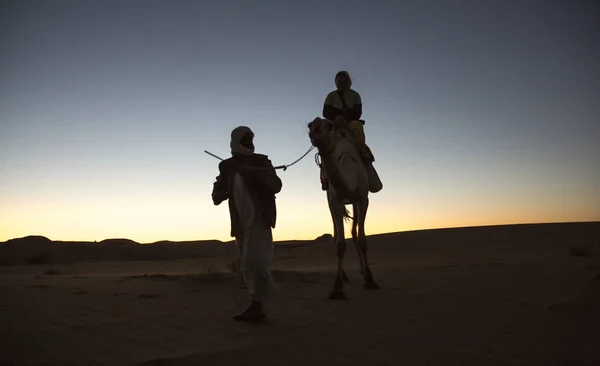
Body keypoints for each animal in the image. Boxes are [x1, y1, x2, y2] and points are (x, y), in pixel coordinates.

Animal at [308, 116, 382, 298]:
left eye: (329, 125)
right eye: (310, 125)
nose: (314, 128)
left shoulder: (362, 198)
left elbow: (362, 239)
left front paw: (370, 280)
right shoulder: (335, 200)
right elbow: (339, 243)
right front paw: (337, 287)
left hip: (355, 201)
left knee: (354, 231)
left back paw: (363, 271)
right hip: (331, 202)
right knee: (338, 232)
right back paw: (345, 275)